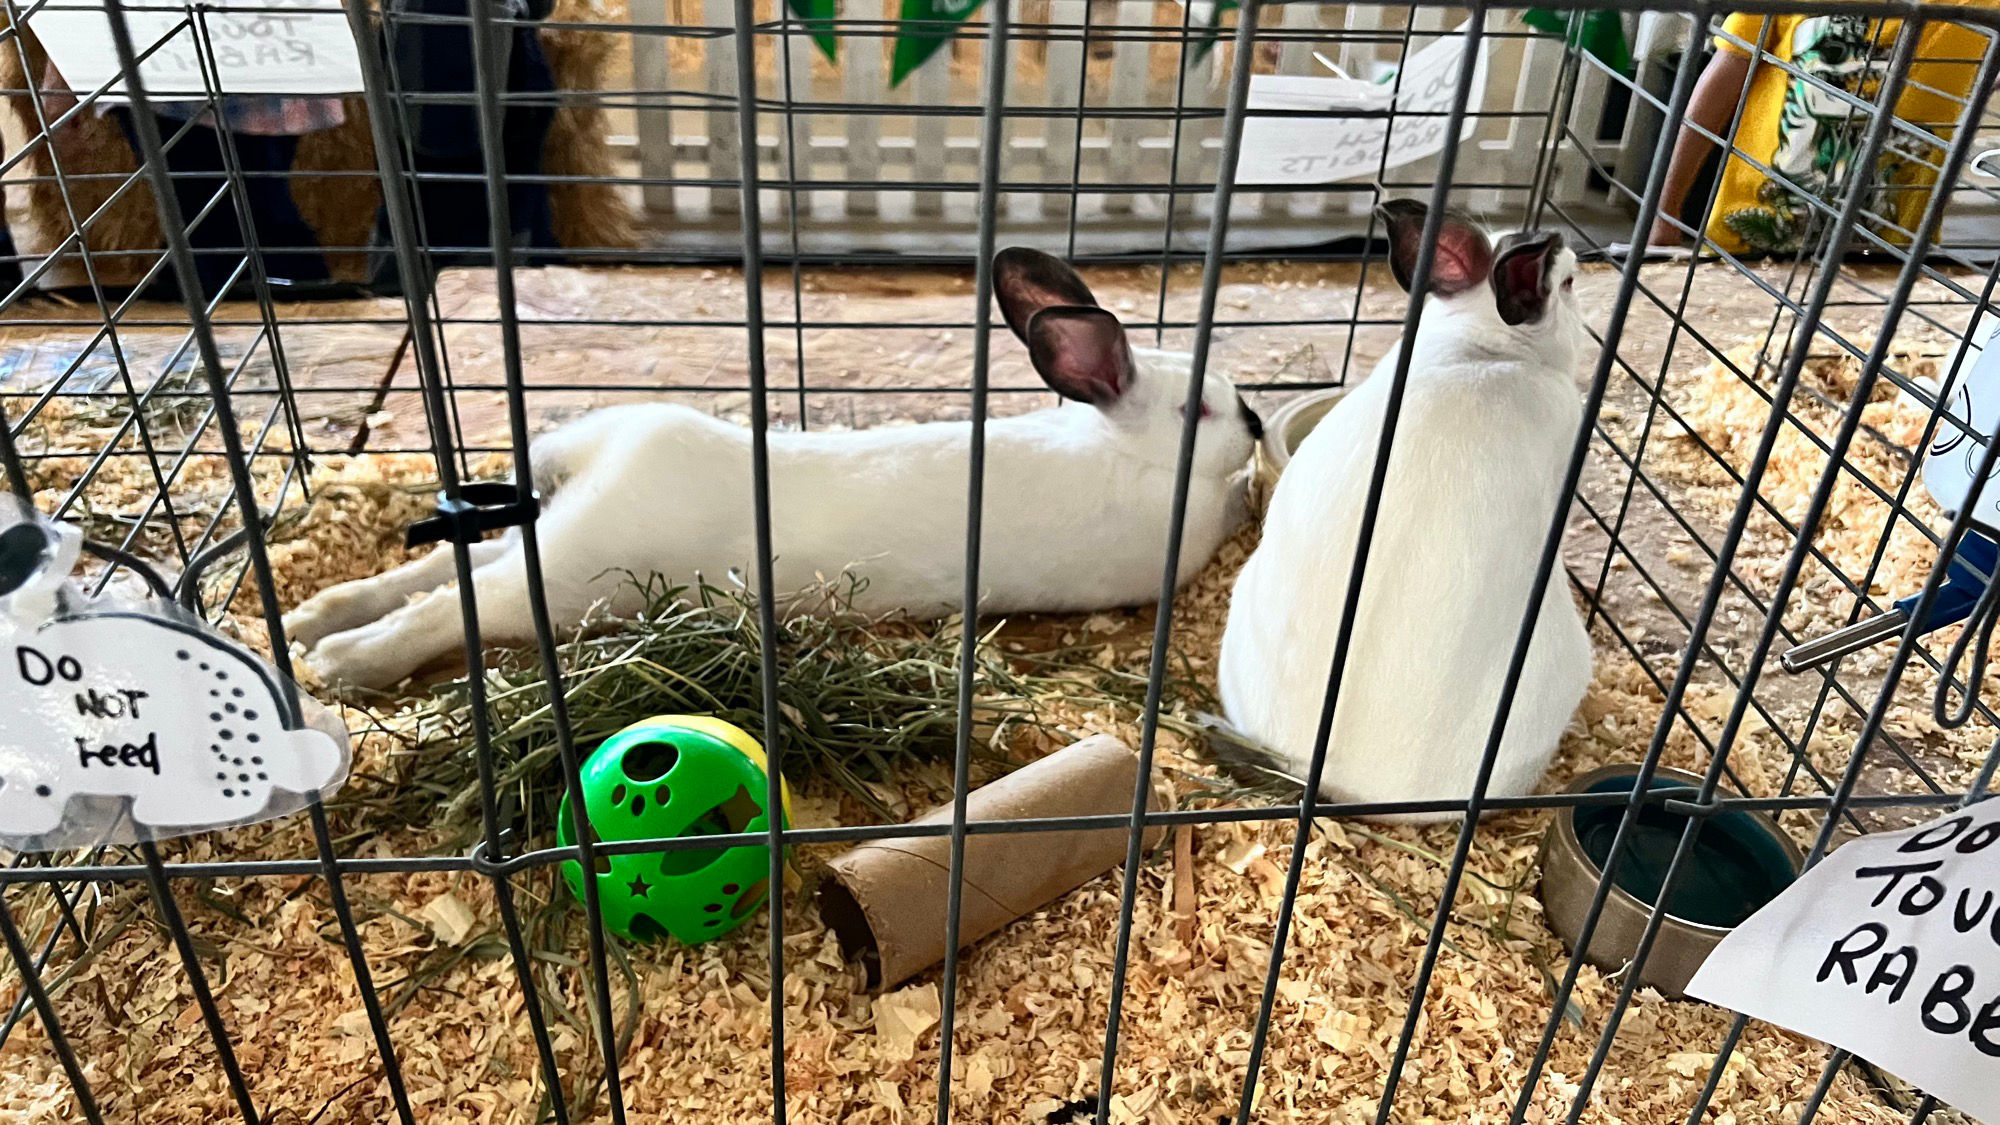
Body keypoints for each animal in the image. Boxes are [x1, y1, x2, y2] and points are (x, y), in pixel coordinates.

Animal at [290, 249, 1256, 688]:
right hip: (572, 579)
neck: (1128, 448)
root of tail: (604, 458)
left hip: (551, 544)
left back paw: (310, 616)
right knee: (449, 607)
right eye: (1201, 408)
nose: (1251, 424)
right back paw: (337, 661)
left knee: (443, 567)